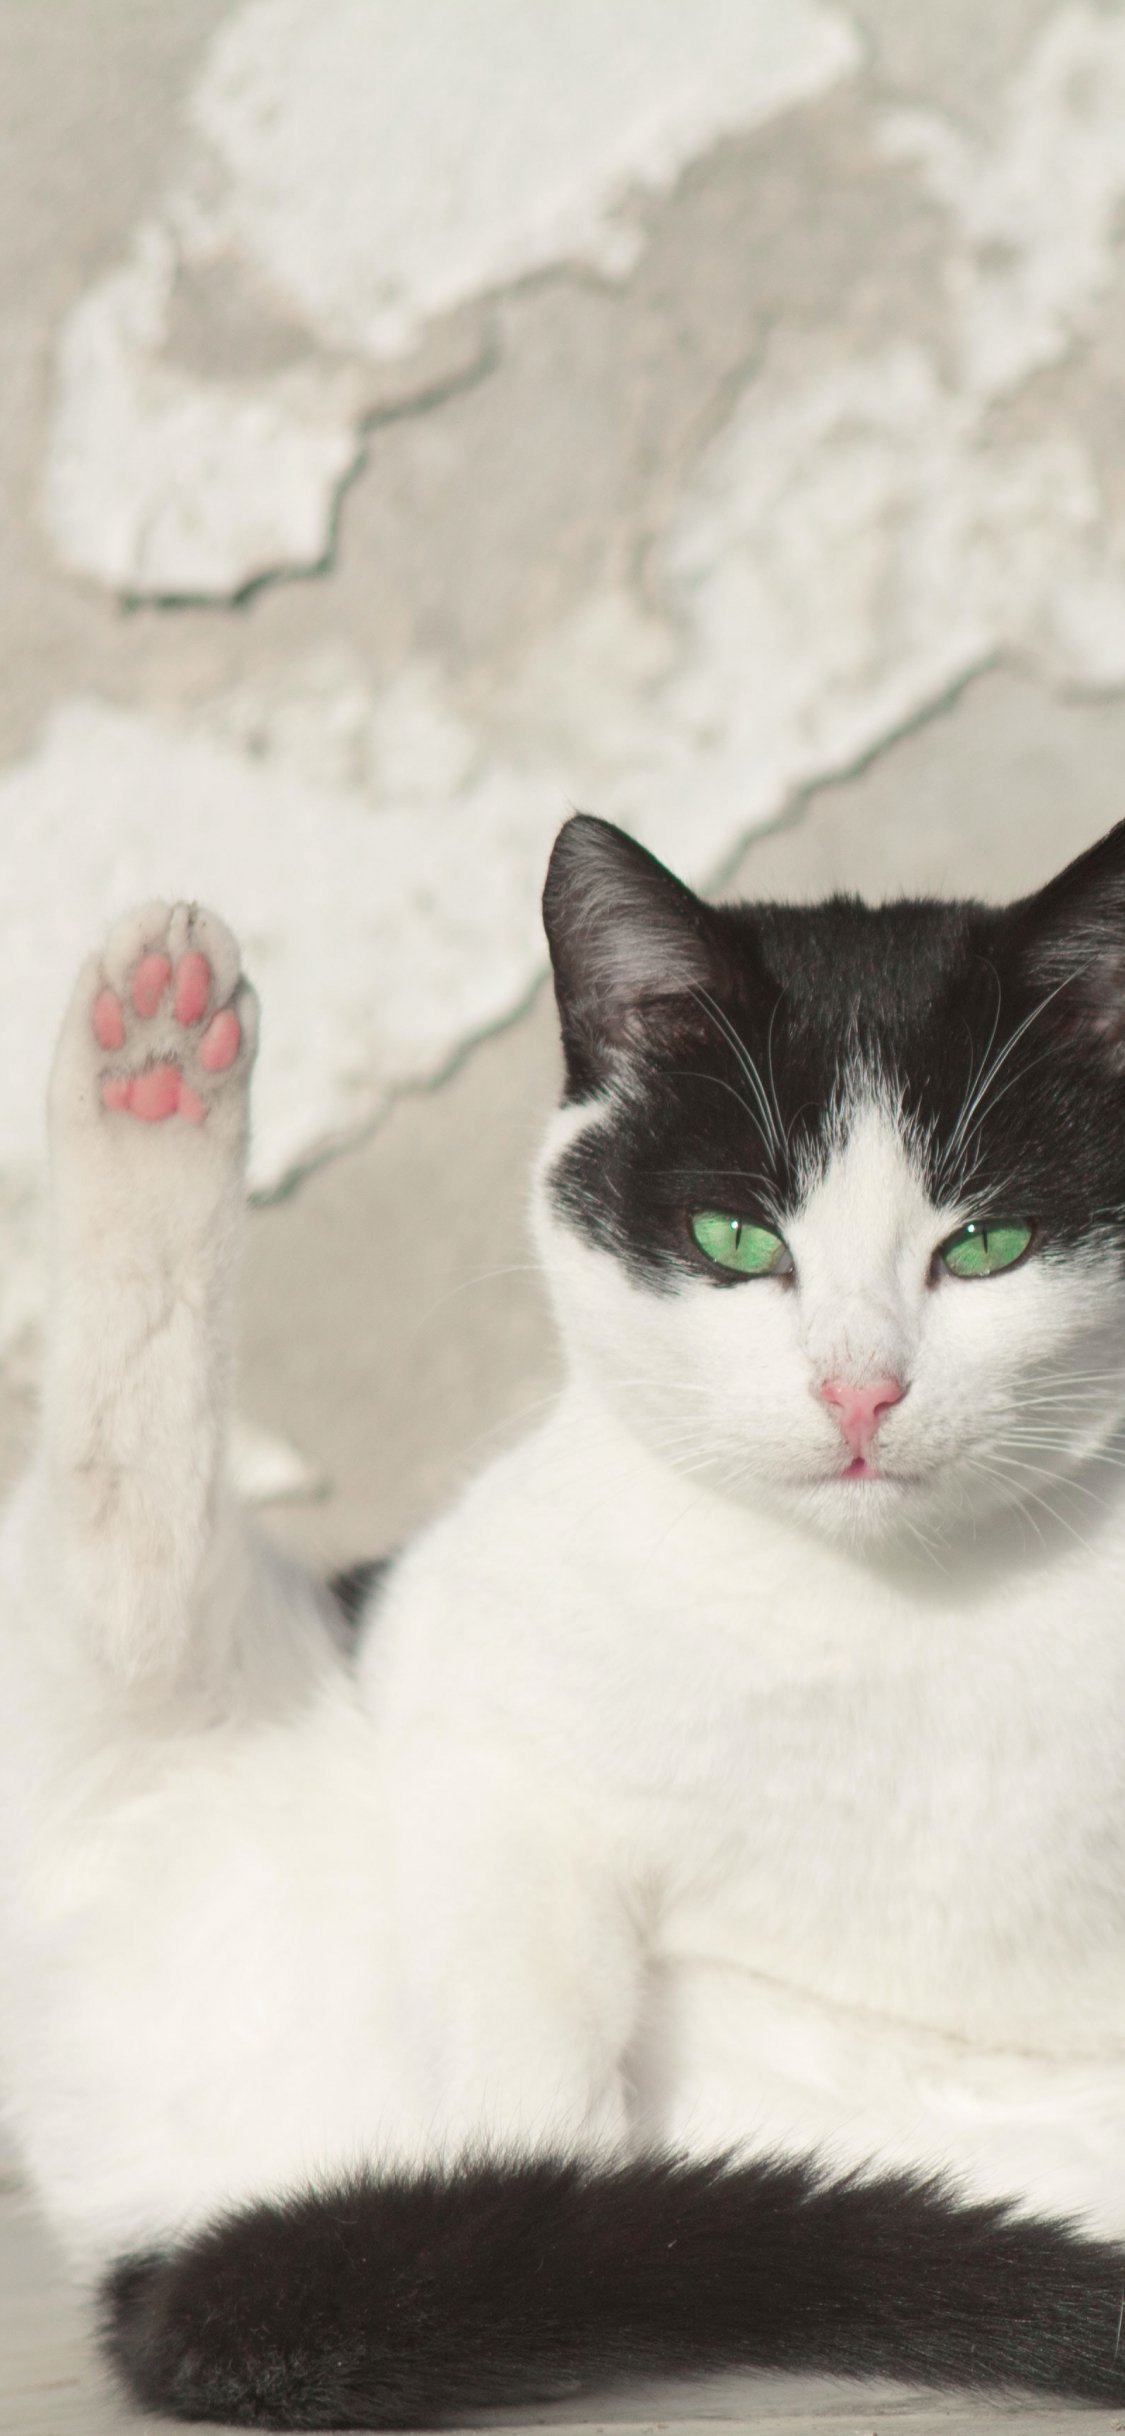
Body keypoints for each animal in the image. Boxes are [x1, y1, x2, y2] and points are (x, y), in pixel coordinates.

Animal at [6, 822, 1125, 2427]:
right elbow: (532, 2067)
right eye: (736, 1239)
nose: (858, 1390)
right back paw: (152, 1061)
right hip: (184, 1719)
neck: (879, 1614)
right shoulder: (481, 1740)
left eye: (986, 1250)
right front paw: (540, 2228)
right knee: (129, 1543)